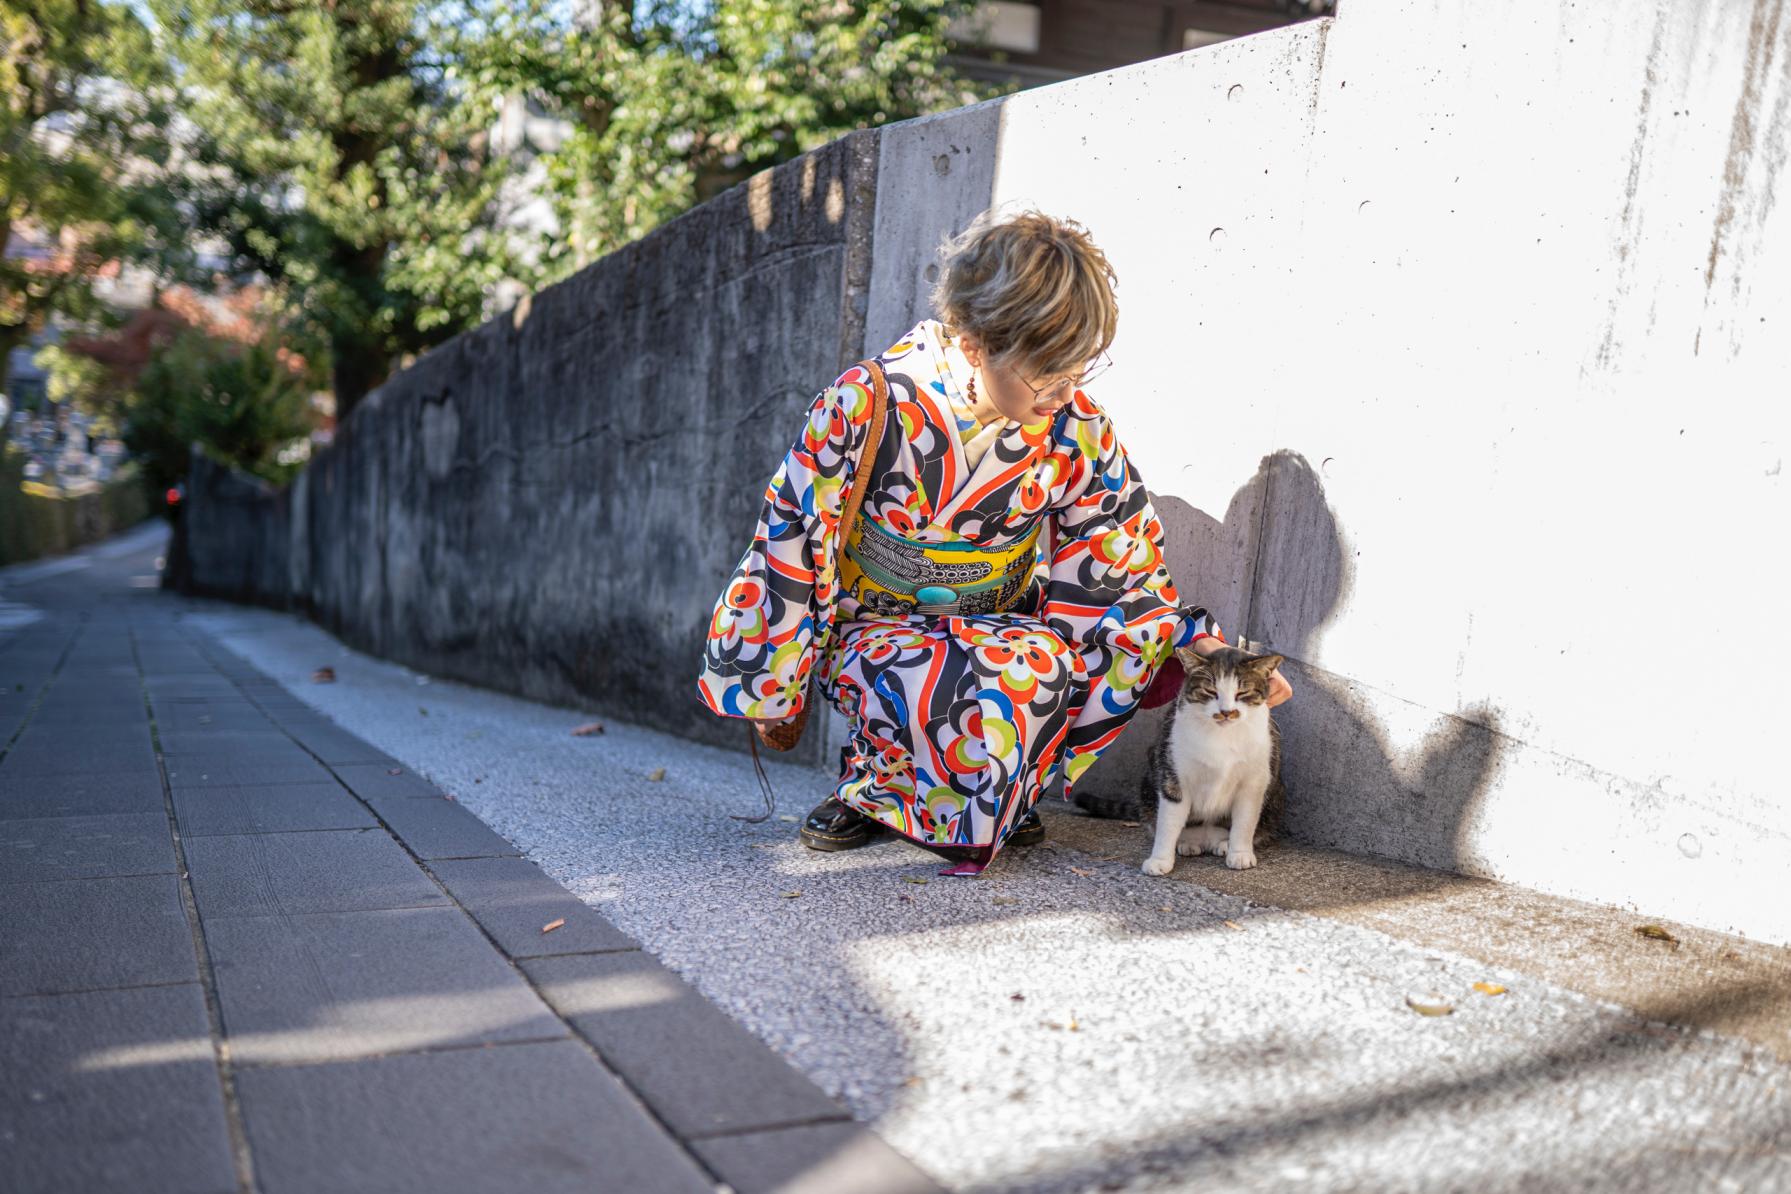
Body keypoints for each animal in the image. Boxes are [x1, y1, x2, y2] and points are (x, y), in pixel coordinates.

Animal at [1067, 648, 1282, 873]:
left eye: (1242, 693)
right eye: (1210, 691)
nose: (1225, 712)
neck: (1221, 736)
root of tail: (1207, 838)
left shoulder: (1253, 782)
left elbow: (1245, 821)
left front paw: (1240, 853)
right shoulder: (1173, 774)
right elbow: (1168, 822)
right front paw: (1160, 860)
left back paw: (1224, 844)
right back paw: (1186, 843)